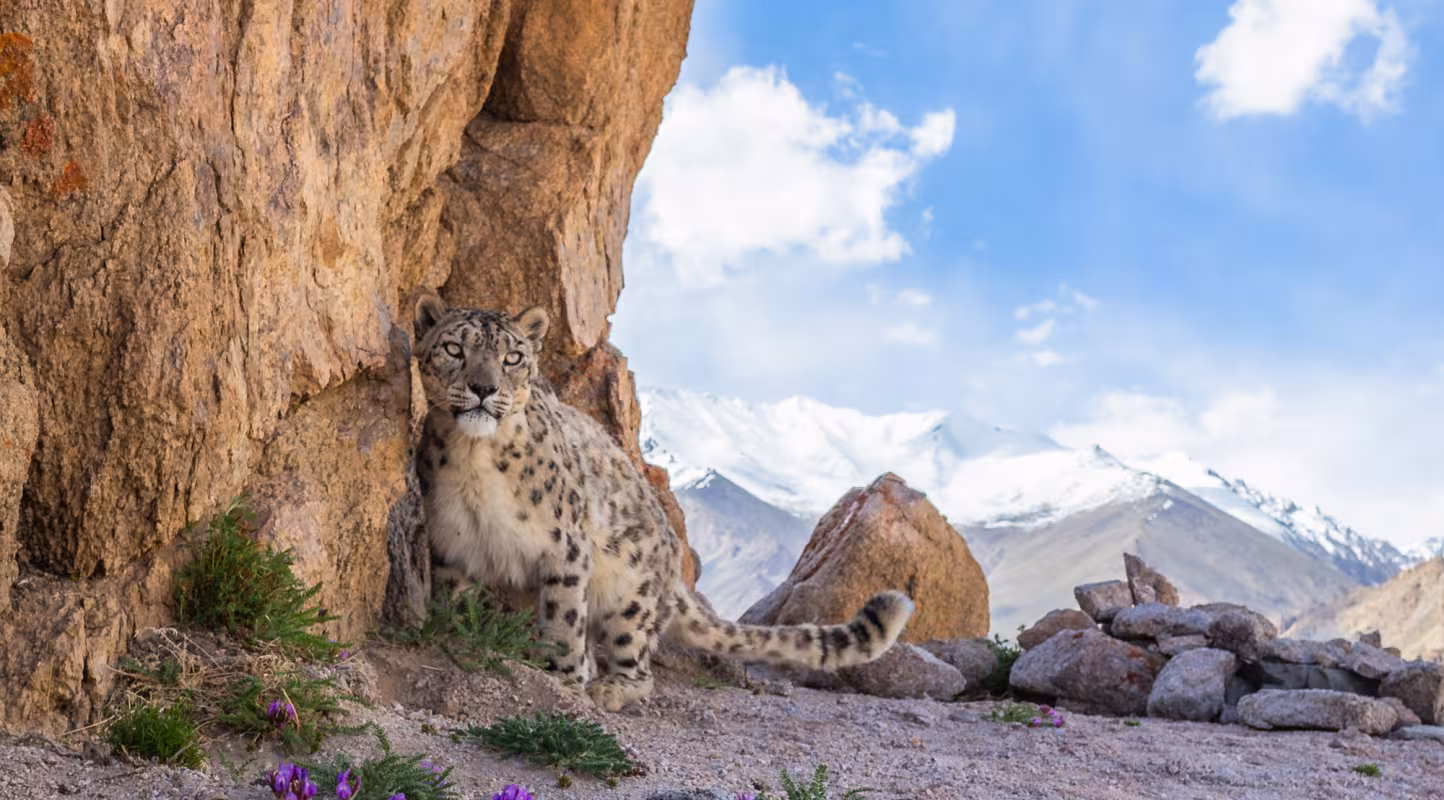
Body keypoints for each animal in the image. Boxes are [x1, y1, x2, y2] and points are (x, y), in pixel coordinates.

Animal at [411, 291, 915, 710]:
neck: (475, 459)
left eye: (512, 357)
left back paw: (611, 688)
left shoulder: (566, 549)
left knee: (637, 663)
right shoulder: (453, 544)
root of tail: (672, 563)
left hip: (629, 596)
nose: (484, 388)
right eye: (454, 349)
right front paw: (448, 633)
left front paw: (564, 680)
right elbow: (452, 598)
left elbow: (563, 620)